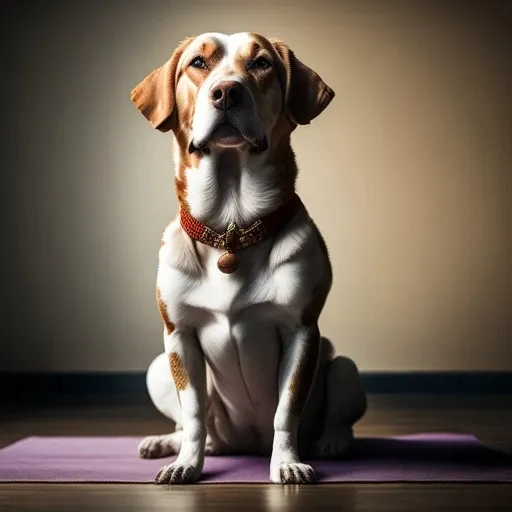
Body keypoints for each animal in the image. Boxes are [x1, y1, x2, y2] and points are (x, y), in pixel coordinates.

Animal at [130, 31, 366, 484]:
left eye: (261, 64)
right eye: (197, 63)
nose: (226, 92)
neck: (231, 229)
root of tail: (242, 444)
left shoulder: (301, 330)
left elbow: (286, 410)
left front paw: (287, 462)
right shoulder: (179, 335)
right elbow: (194, 413)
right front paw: (186, 463)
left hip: (346, 369)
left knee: (338, 404)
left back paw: (333, 441)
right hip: (157, 369)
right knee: (188, 423)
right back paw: (167, 443)